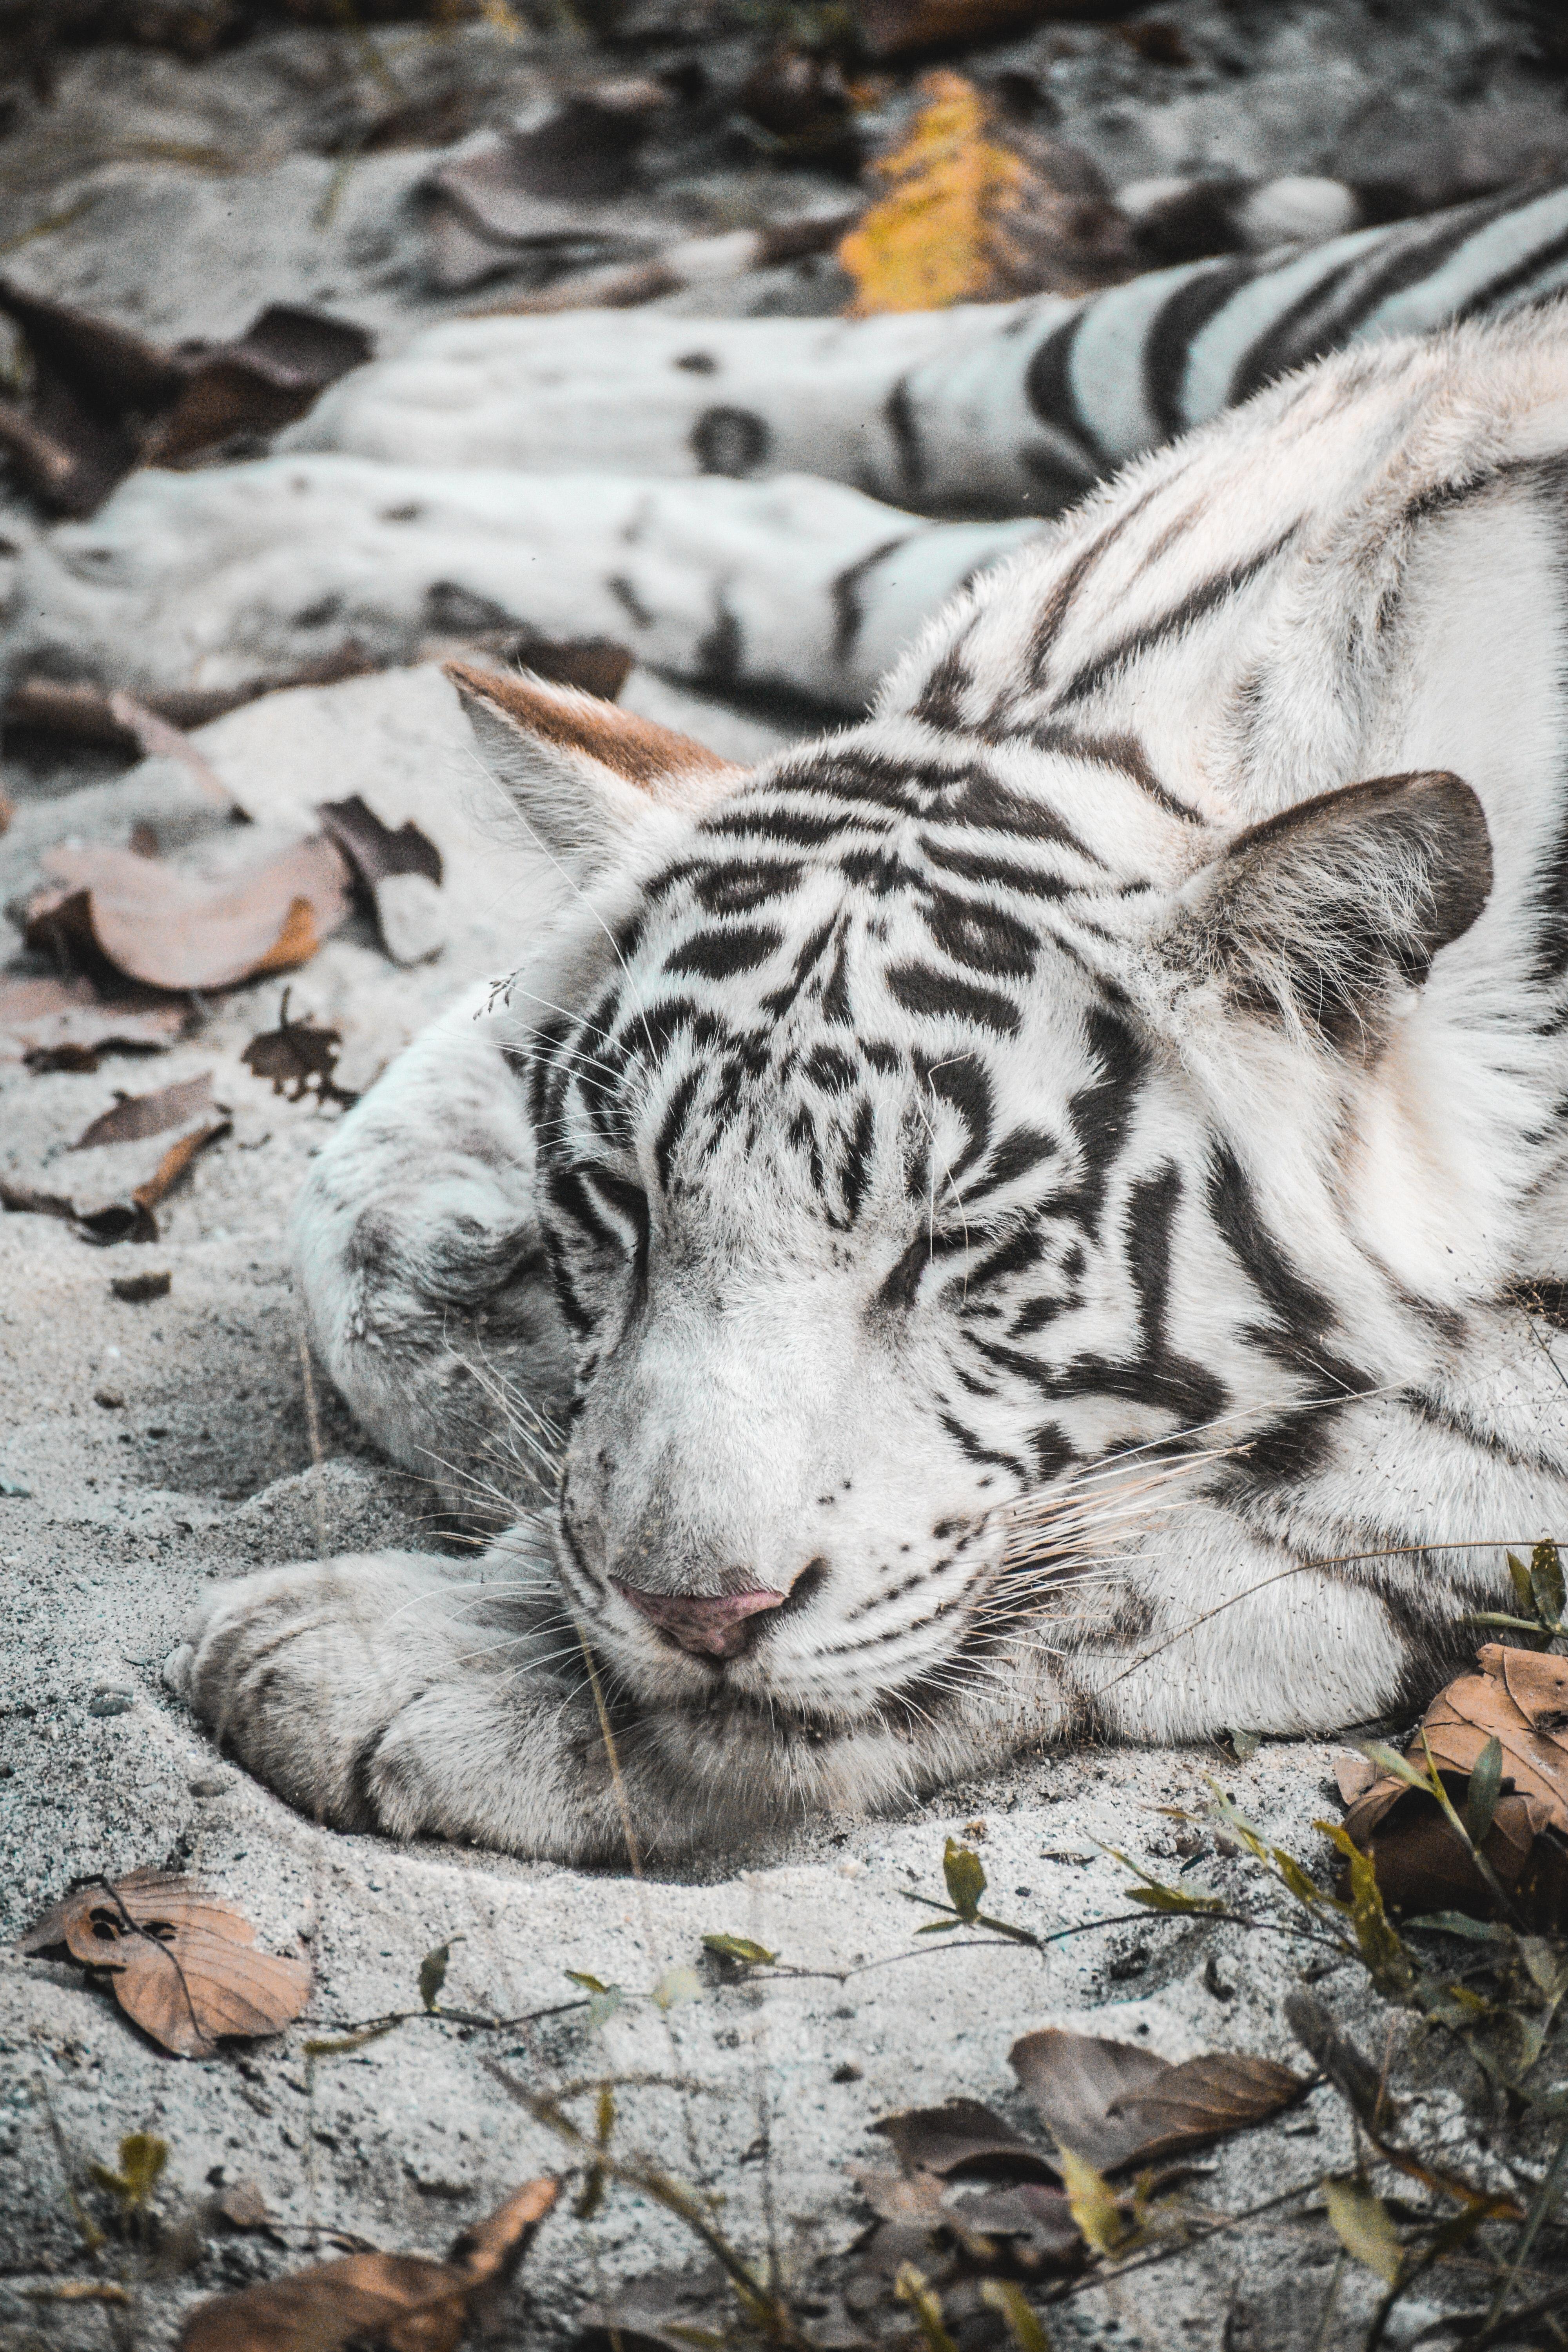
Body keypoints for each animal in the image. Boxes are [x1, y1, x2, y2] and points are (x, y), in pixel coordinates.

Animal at [171, 304, 1568, 1863]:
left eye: (962, 1244)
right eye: (619, 1199)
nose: (692, 1609)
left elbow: (1262, 1497)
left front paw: (430, 1659)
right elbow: (351, 1210)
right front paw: (479, 1362)